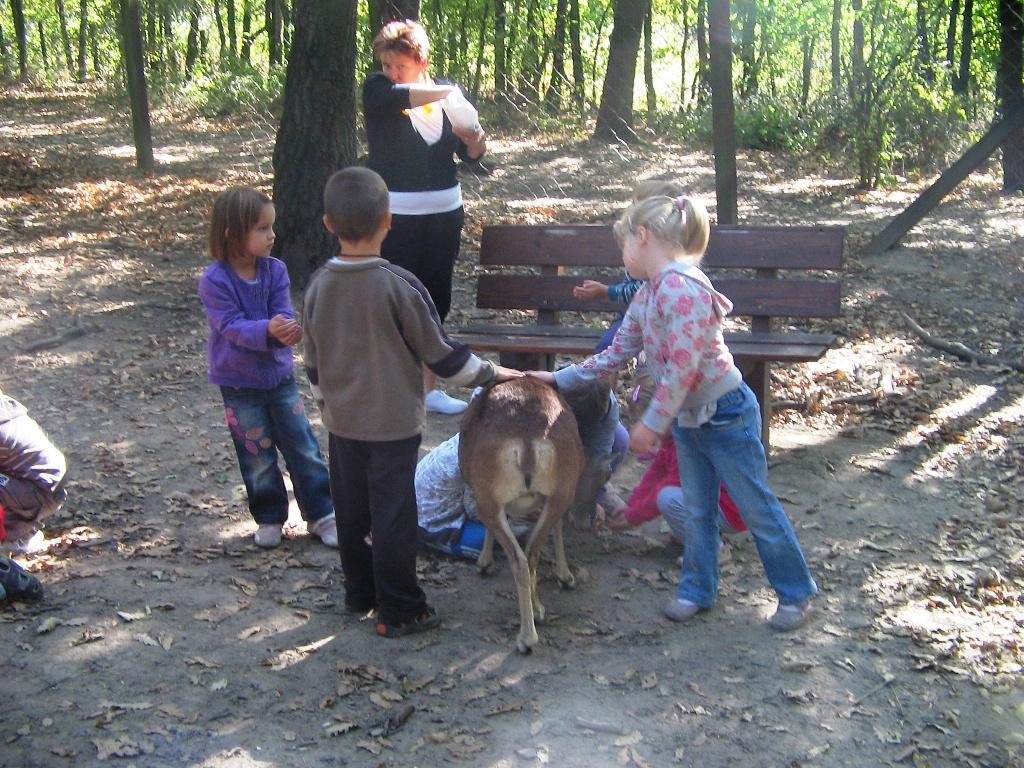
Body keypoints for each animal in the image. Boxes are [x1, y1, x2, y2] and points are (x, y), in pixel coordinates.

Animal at [458, 376, 614, 651]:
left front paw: (484, 563)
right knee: (532, 553)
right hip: (560, 492)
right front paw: (564, 578)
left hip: (491, 500)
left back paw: (527, 638)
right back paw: (538, 613)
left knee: (520, 559)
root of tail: (528, 443)